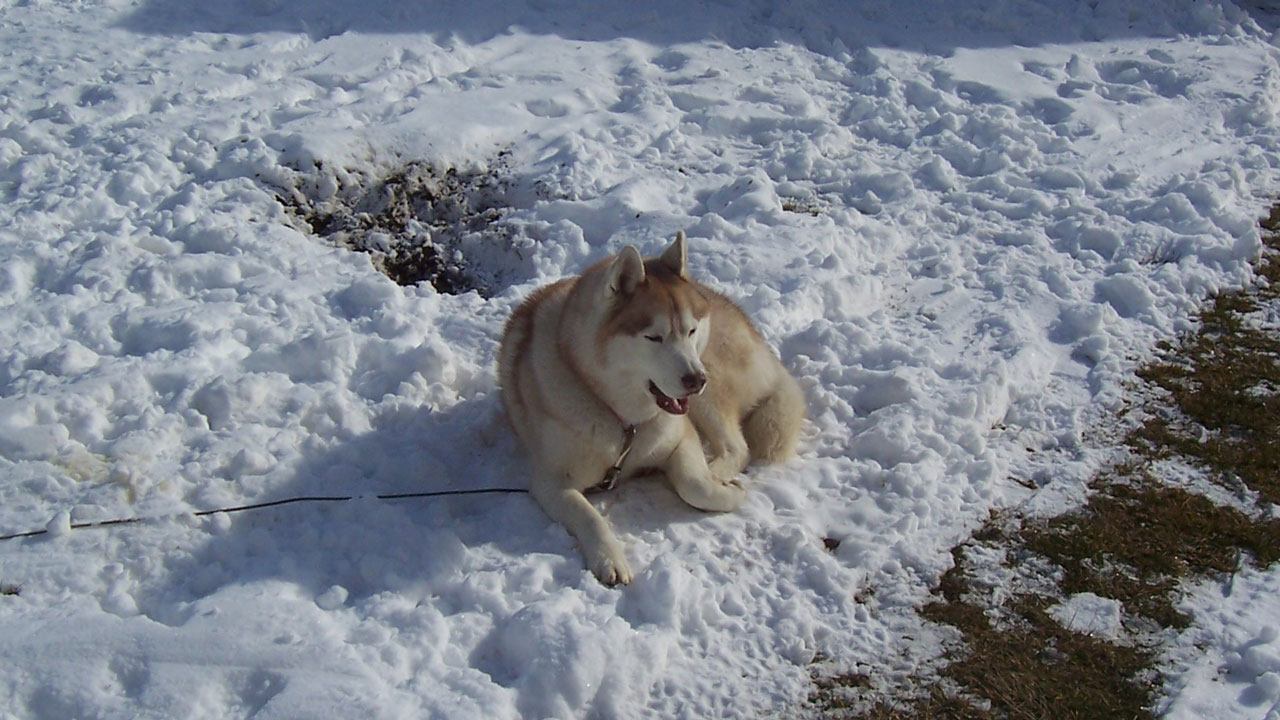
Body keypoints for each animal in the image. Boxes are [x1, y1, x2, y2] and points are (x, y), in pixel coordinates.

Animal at [496, 230, 798, 584]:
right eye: (654, 337)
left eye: (691, 330)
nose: (696, 380)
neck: (622, 419)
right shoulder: (550, 482)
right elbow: (587, 515)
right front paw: (609, 557)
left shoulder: (682, 437)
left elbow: (695, 484)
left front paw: (725, 490)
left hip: (709, 386)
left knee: (737, 447)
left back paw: (715, 471)